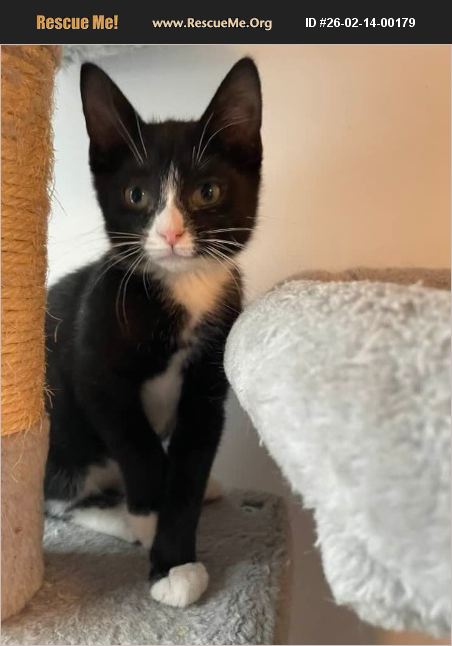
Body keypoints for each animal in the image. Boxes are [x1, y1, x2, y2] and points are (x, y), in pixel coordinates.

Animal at [44, 57, 262, 607]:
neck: (183, 294)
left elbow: (189, 463)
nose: (170, 232)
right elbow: (139, 449)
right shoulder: (94, 369)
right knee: (57, 496)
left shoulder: (207, 390)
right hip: (62, 428)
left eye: (208, 191)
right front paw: (153, 527)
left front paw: (176, 556)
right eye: (136, 195)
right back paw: (122, 518)